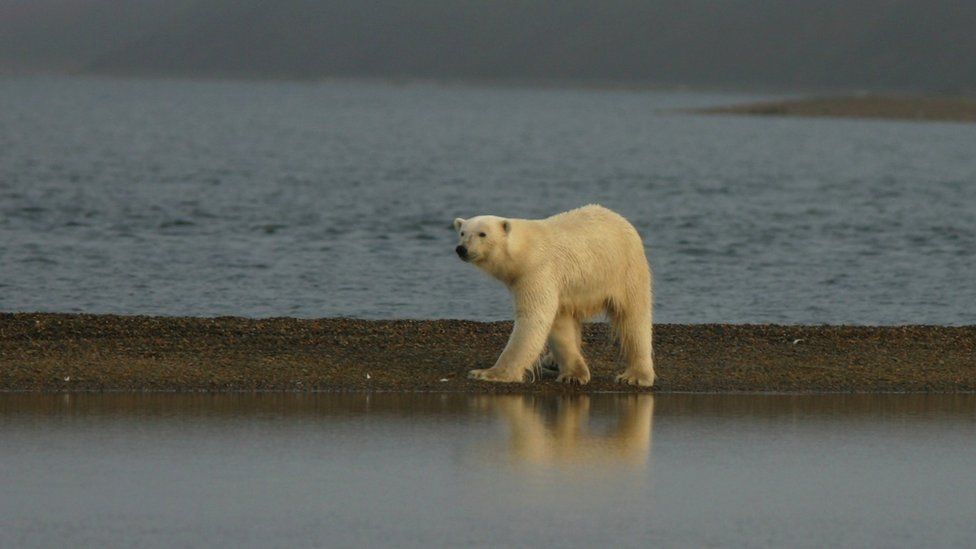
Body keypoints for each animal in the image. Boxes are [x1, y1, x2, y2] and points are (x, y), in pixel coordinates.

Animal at [452, 203, 656, 388]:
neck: (525, 250)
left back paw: (636, 376)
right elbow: (559, 324)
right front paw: (574, 374)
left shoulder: (537, 271)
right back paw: (551, 360)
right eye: (462, 232)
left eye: (482, 234)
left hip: (624, 269)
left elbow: (534, 318)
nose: (461, 249)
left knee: (633, 318)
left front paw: (487, 373)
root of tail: (620, 218)